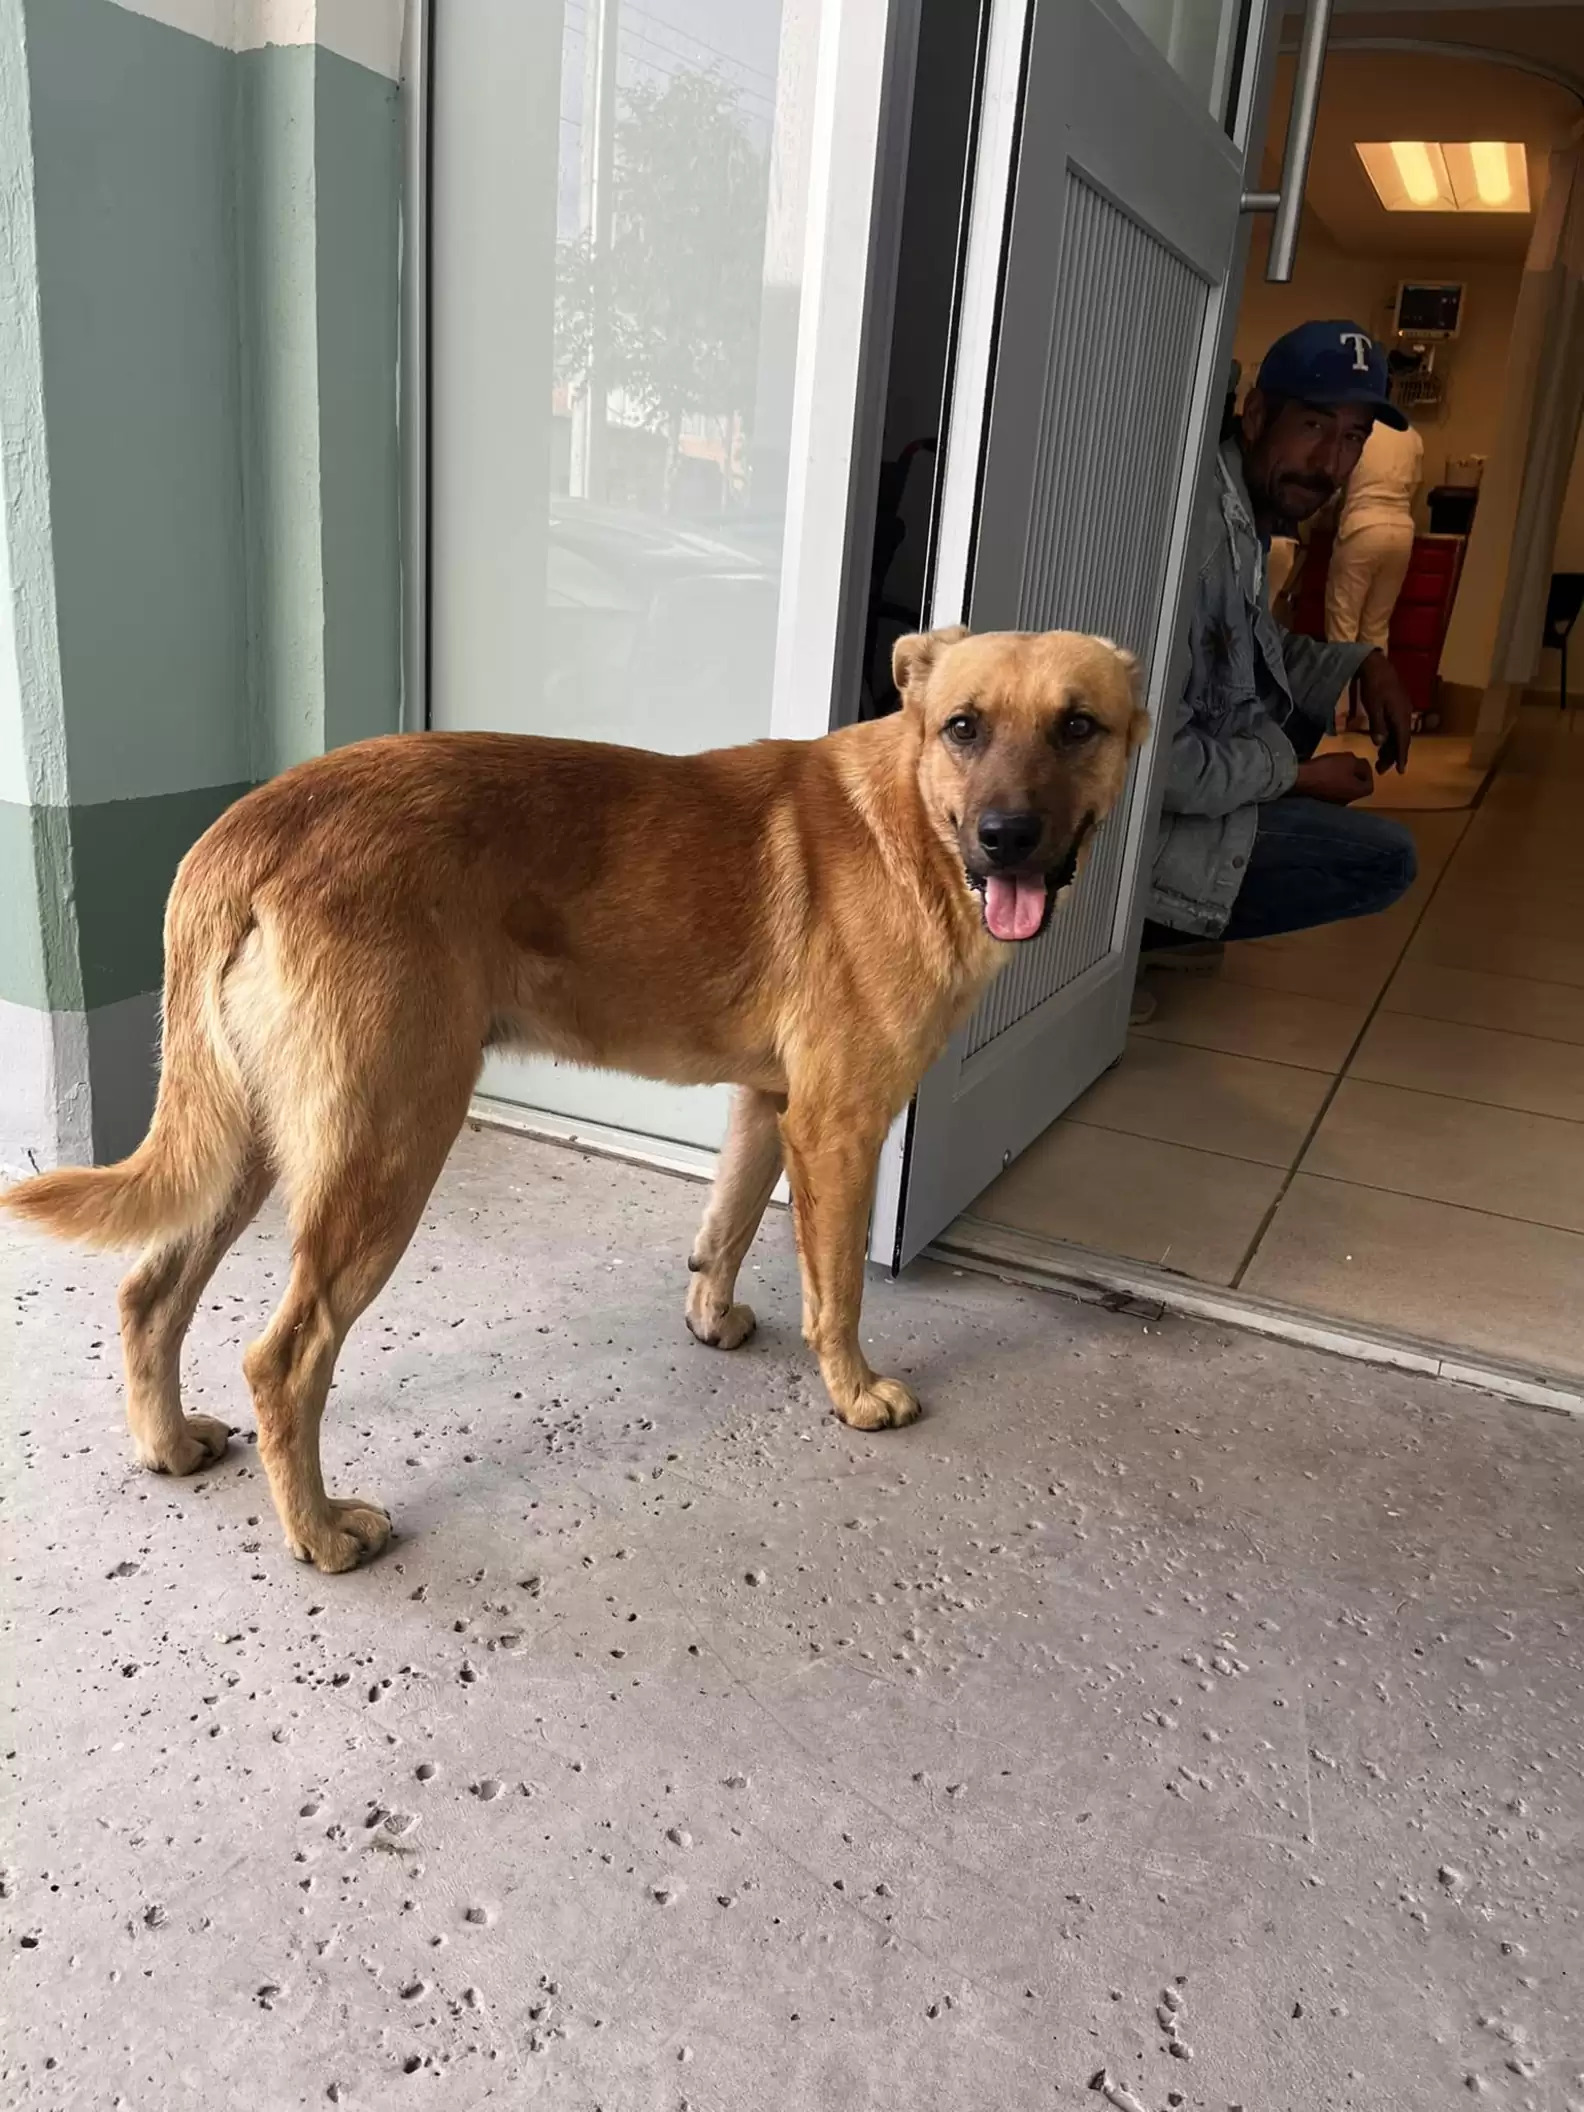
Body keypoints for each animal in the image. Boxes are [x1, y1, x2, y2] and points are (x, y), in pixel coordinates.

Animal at [0, 625, 1140, 1571]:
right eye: (964, 727)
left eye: (1078, 726)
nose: (1008, 837)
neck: (910, 814)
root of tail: (248, 827)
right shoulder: (840, 1126)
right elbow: (840, 1293)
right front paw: (854, 1392)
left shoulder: (767, 1105)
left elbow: (726, 1225)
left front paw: (711, 1319)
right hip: (388, 1147)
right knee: (283, 1359)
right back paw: (319, 1534)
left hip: (250, 1142)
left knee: (149, 1293)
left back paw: (166, 1444)